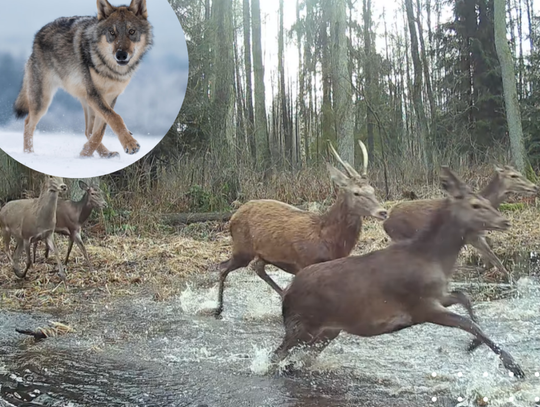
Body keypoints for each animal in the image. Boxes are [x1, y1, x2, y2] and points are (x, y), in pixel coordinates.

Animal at [12, 0, 154, 158]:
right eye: (112, 33)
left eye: (132, 31)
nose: (121, 55)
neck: (111, 70)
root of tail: (37, 36)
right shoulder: (94, 94)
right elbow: (115, 118)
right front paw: (130, 144)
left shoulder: (110, 97)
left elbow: (102, 128)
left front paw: (86, 153)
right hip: (43, 101)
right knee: (28, 123)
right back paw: (29, 154)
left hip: (85, 101)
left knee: (88, 130)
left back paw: (105, 153)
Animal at [213, 140, 390, 318]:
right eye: (356, 193)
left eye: (373, 190)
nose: (383, 212)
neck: (327, 240)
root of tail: (233, 217)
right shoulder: (305, 262)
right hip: (242, 248)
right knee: (223, 267)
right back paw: (218, 309)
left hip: (264, 253)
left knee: (257, 267)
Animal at [272, 167, 524, 380]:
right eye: (475, 205)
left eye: (486, 201)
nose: (505, 221)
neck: (434, 259)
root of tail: (287, 292)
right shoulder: (420, 305)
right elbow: (467, 322)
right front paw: (513, 366)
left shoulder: (438, 295)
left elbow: (465, 298)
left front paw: (473, 344)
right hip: (303, 324)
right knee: (277, 355)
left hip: (328, 331)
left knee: (301, 357)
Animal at [384, 164, 536, 282]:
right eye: (513, 175)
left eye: (519, 173)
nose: (534, 186)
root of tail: (386, 222)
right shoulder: (471, 237)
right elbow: (494, 260)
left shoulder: (479, 236)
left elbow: (490, 260)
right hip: (401, 236)